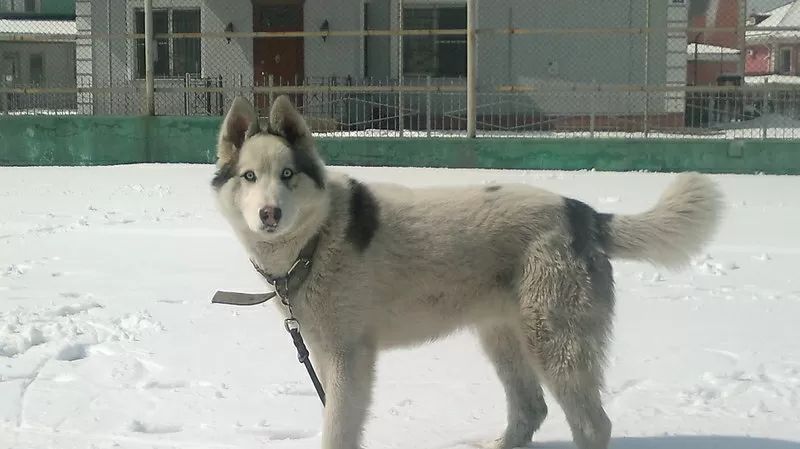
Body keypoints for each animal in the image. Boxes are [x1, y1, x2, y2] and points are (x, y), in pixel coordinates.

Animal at [212, 95, 724, 448]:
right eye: (249, 177)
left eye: (288, 175)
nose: (270, 214)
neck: (316, 240)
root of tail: (583, 213)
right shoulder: (325, 351)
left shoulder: (348, 357)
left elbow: (337, 428)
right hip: (504, 337)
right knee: (532, 409)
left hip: (555, 342)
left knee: (592, 424)